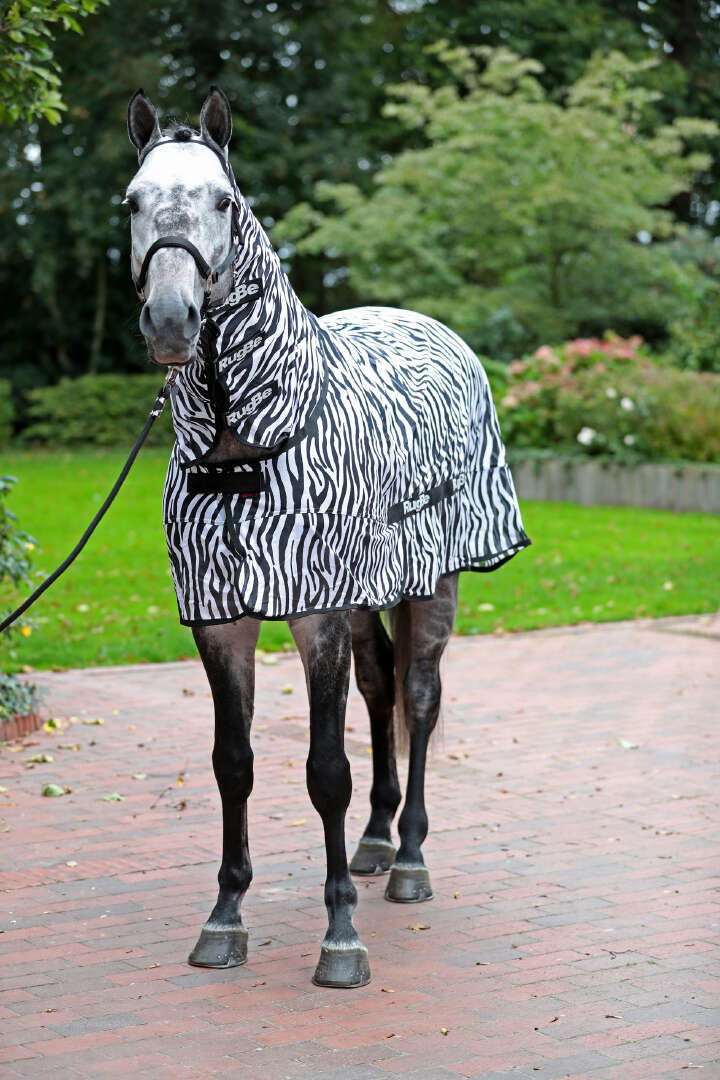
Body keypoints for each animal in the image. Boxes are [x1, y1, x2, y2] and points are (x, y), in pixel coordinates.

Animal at [126, 86, 530, 988]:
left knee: (418, 694)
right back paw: (377, 841)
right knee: (381, 687)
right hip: (361, 597)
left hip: (431, 583)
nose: (171, 319)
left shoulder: (314, 615)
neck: (244, 450)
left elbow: (325, 772)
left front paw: (340, 935)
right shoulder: (223, 618)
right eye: (133, 202)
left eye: (224, 201)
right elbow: (233, 764)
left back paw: (408, 857)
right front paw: (225, 916)